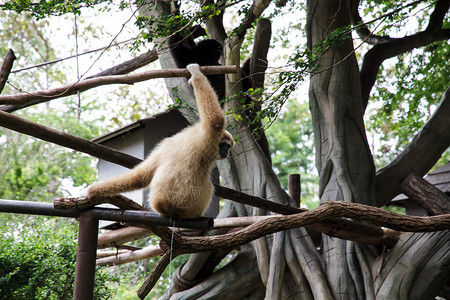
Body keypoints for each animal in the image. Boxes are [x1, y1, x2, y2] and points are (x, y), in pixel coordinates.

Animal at [87, 63, 236, 218]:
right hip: (190, 206)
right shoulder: (208, 136)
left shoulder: (164, 146)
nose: (226, 152)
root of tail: (166, 205)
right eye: (224, 146)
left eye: (228, 147)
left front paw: (94, 190)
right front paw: (196, 74)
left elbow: (140, 177)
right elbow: (215, 120)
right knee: (209, 186)